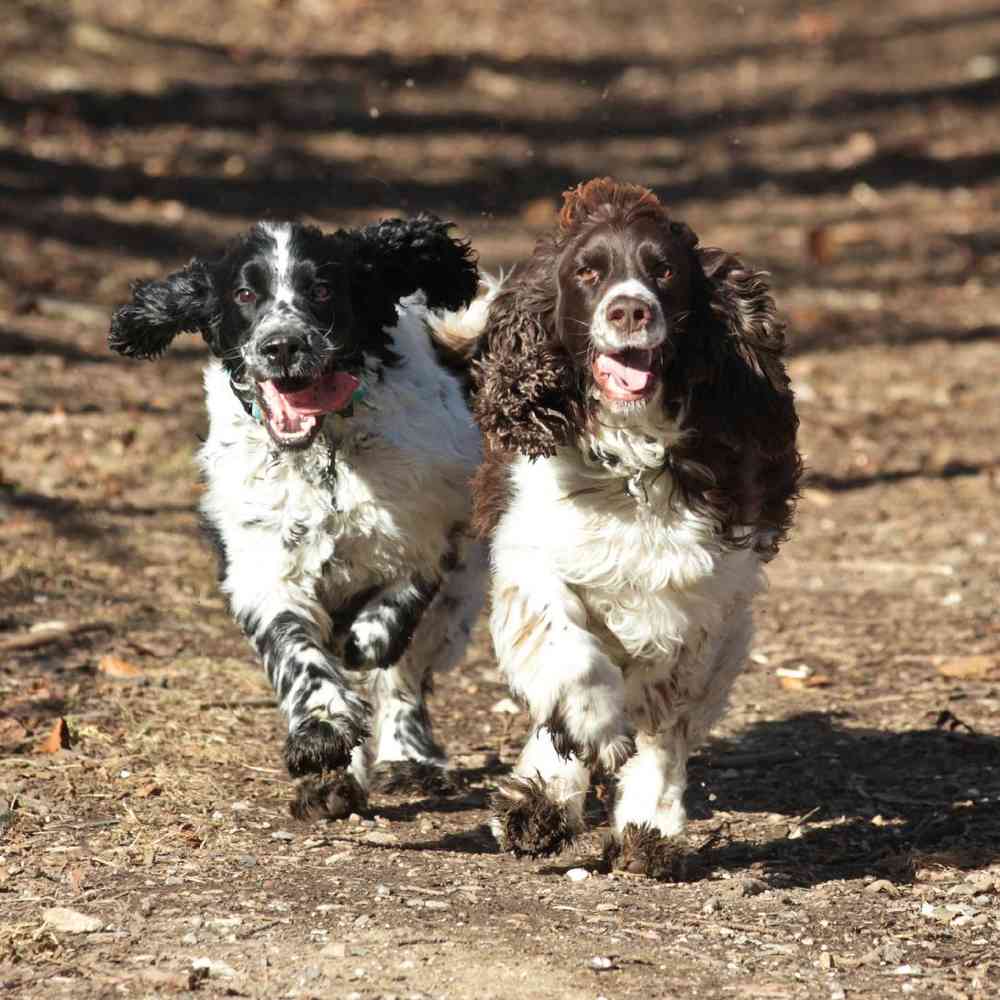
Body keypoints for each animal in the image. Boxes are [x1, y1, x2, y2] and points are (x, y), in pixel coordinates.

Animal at [111, 219, 486, 812]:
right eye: (245, 294)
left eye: (324, 289)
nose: (283, 345)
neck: (325, 450)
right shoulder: (262, 567)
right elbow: (296, 652)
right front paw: (322, 733)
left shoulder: (431, 529)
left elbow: (392, 620)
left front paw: (367, 639)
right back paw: (335, 782)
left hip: (457, 599)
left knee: (404, 675)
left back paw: (408, 759)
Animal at [468, 178, 804, 876]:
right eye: (588, 272)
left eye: (665, 271)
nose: (628, 310)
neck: (633, 461)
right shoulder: (530, 550)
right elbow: (567, 653)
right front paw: (587, 737)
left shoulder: (707, 600)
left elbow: (665, 718)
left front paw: (650, 824)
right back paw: (542, 799)